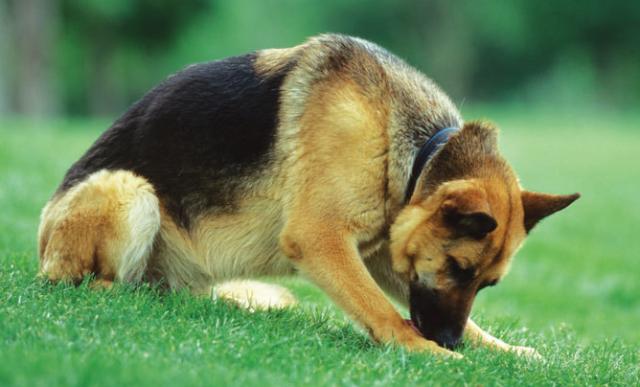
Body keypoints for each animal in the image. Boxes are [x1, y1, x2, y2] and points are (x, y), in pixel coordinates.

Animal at [36, 34, 580, 360]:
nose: (446, 338)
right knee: (84, 283)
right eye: (459, 269)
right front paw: (428, 352)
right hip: (128, 189)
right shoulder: (320, 238)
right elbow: (382, 311)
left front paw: (504, 352)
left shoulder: (390, 254)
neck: (415, 149)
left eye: (485, 283)